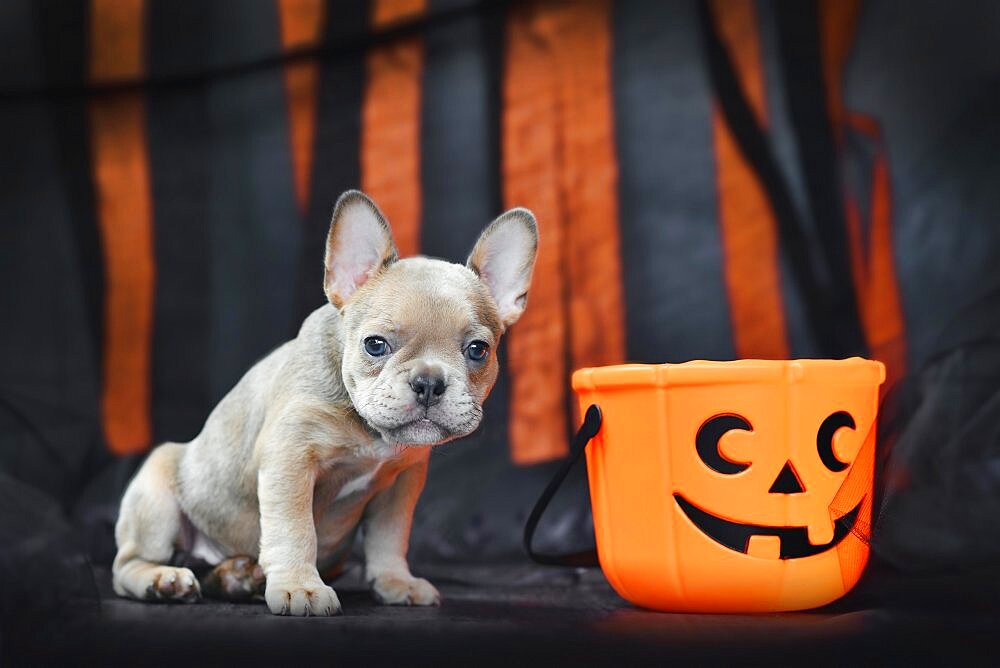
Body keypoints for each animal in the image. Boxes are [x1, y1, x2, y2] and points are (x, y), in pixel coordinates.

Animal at [110, 189, 540, 616]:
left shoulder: (401, 484)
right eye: (375, 345)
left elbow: (390, 537)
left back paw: (237, 578)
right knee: (126, 564)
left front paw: (396, 581)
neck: (370, 431)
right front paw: (300, 587)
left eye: (478, 350)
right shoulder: (290, 460)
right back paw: (163, 580)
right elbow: (295, 529)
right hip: (156, 494)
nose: (429, 382)